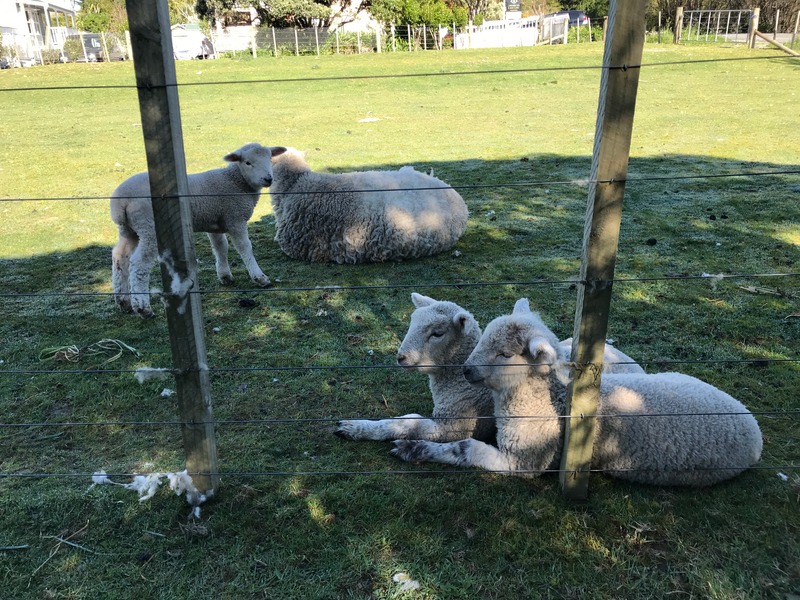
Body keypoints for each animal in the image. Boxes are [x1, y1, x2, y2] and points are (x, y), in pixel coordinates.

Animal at [111, 143, 287, 318]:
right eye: (248, 162)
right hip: (148, 226)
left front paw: (225, 276)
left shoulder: (214, 223)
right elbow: (245, 247)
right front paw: (259, 277)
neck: (235, 182)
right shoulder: (235, 218)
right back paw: (143, 308)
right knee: (139, 263)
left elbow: (221, 247)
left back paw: (123, 301)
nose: (268, 179)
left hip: (129, 230)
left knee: (120, 256)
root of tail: (121, 201)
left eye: (270, 159)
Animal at [335, 293, 644, 444]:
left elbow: (405, 424)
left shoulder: (455, 428)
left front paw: (355, 428)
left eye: (437, 333)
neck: (454, 381)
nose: (401, 357)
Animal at [391, 298, 763, 487]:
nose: (467, 371)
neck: (550, 400)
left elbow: (464, 447)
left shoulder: (523, 461)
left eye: (506, 353)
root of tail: (753, 428)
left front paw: (414, 448)